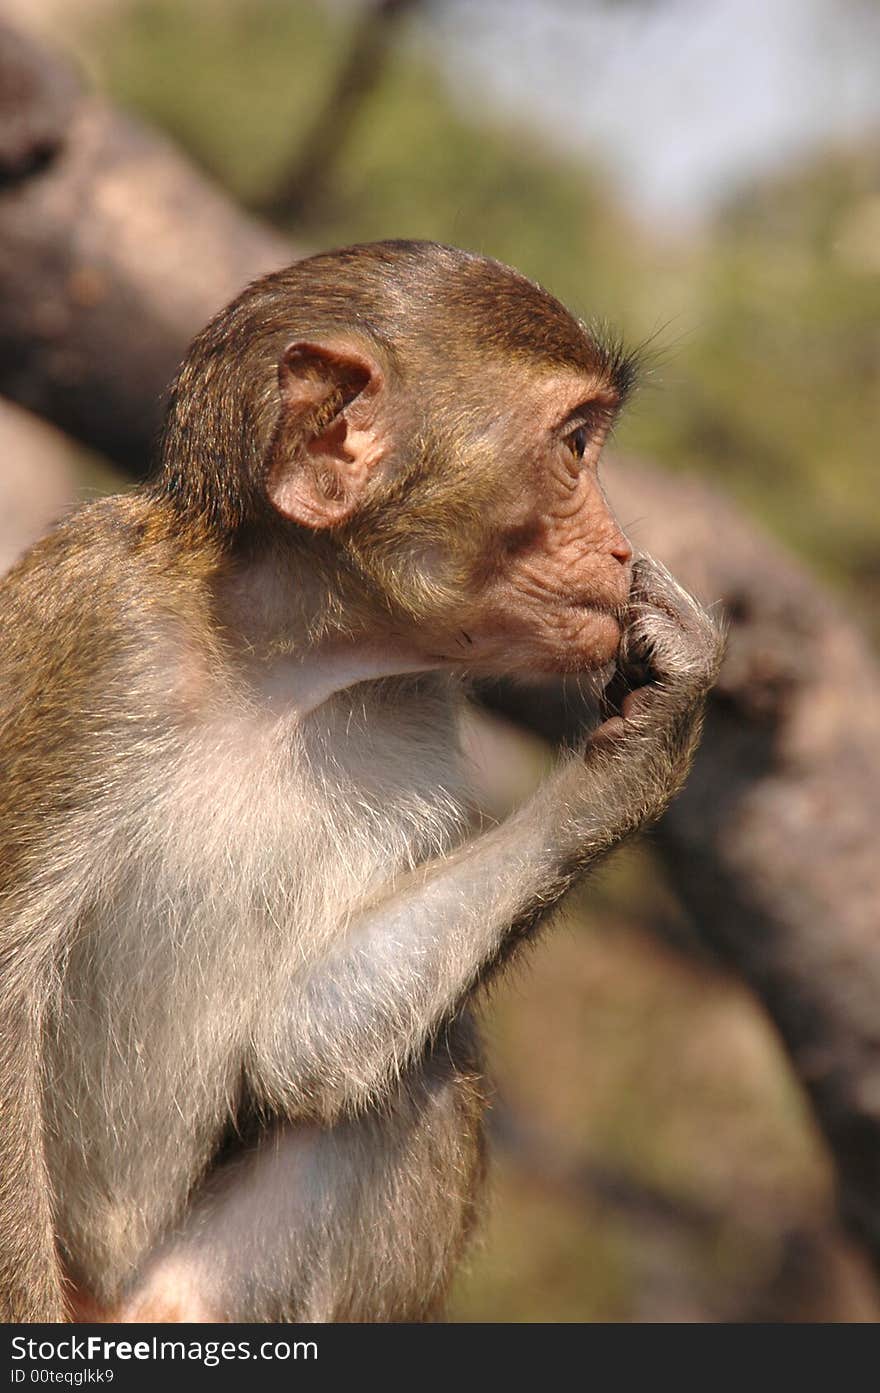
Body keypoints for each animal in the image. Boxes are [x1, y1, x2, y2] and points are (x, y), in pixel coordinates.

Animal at [0, 242, 724, 1326]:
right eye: (574, 445)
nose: (620, 551)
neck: (273, 666)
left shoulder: (415, 730)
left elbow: (301, 1045)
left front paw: (657, 723)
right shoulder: (94, 616)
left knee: (425, 1065)